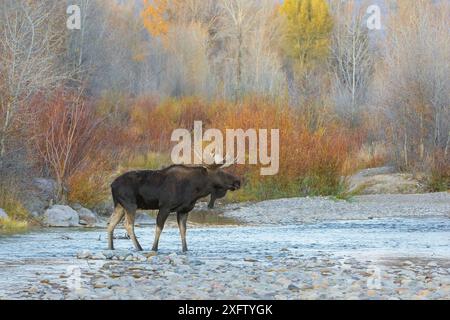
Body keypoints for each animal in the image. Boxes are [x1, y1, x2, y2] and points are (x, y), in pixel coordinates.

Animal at [107, 157, 241, 252]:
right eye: (221, 172)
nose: (237, 182)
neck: (196, 189)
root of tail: (112, 185)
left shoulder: (184, 210)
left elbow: (183, 230)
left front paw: (185, 249)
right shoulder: (165, 207)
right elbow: (159, 228)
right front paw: (154, 248)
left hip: (119, 205)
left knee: (111, 223)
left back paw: (111, 247)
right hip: (130, 204)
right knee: (128, 225)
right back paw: (139, 248)